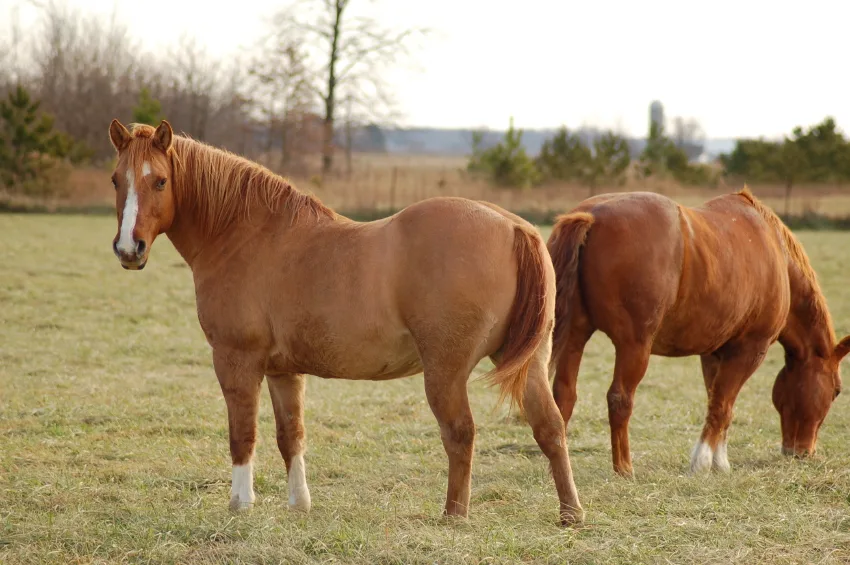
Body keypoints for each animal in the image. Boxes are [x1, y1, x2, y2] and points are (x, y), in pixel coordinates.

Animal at [104, 118, 584, 524]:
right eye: (116, 179)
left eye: (160, 180)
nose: (129, 249)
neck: (248, 235)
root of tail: (514, 225)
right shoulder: (282, 371)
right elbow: (290, 435)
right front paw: (299, 504)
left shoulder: (236, 361)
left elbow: (243, 435)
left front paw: (240, 504)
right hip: (529, 364)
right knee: (550, 427)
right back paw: (570, 514)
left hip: (445, 373)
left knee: (460, 433)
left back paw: (454, 516)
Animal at [548, 188, 844, 476]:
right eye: (837, 391)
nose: (802, 452)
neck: (775, 251)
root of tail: (592, 216)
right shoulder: (749, 351)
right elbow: (723, 406)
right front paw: (702, 462)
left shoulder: (713, 354)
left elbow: (717, 402)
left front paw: (719, 462)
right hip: (634, 346)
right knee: (619, 399)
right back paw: (624, 468)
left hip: (574, 337)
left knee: (564, 394)